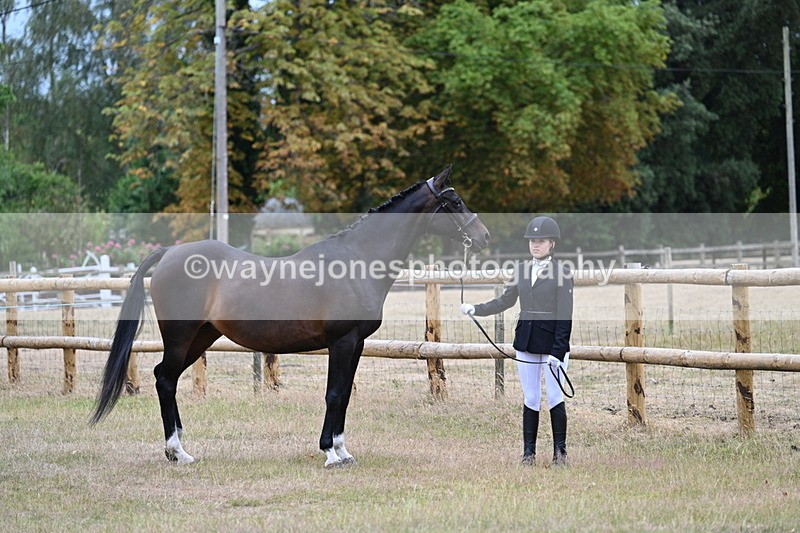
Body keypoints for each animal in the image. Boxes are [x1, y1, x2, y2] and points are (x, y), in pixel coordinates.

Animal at [90, 165, 490, 467]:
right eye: (454, 201)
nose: (483, 237)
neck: (356, 261)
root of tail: (171, 253)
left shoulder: (357, 344)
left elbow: (344, 395)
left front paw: (343, 450)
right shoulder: (341, 342)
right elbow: (333, 394)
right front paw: (331, 453)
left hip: (202, 336)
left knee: (166, 377)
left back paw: (179, 451)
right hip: (180, 337)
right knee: (165, 380)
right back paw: (178, 452)